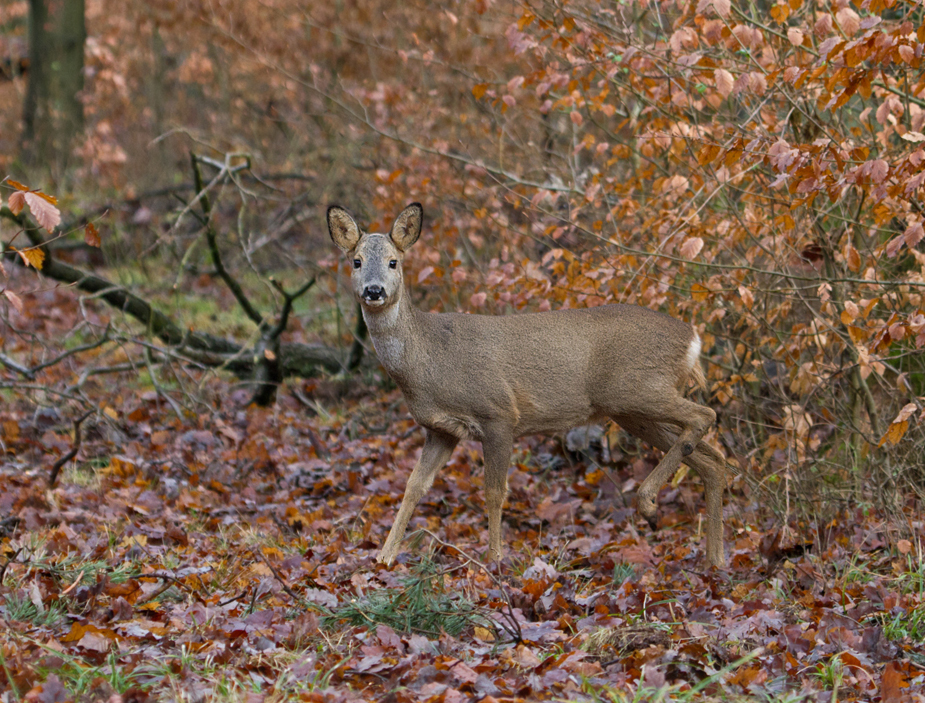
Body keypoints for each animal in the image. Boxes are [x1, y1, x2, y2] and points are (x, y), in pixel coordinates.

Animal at [328, 202, 724, 568]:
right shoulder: (441, 430)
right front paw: (384, 556)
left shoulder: (498, 413)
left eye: (394, 262)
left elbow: (493, 491)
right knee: (714, 459)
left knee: (705, 415)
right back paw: (714, 560)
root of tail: (693, 338)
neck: (428, 360)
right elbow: (413, 487)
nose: (374, 290)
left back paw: (649, 504)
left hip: (638, 388)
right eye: (356, 262)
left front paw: (494, 558)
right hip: (631, 410)